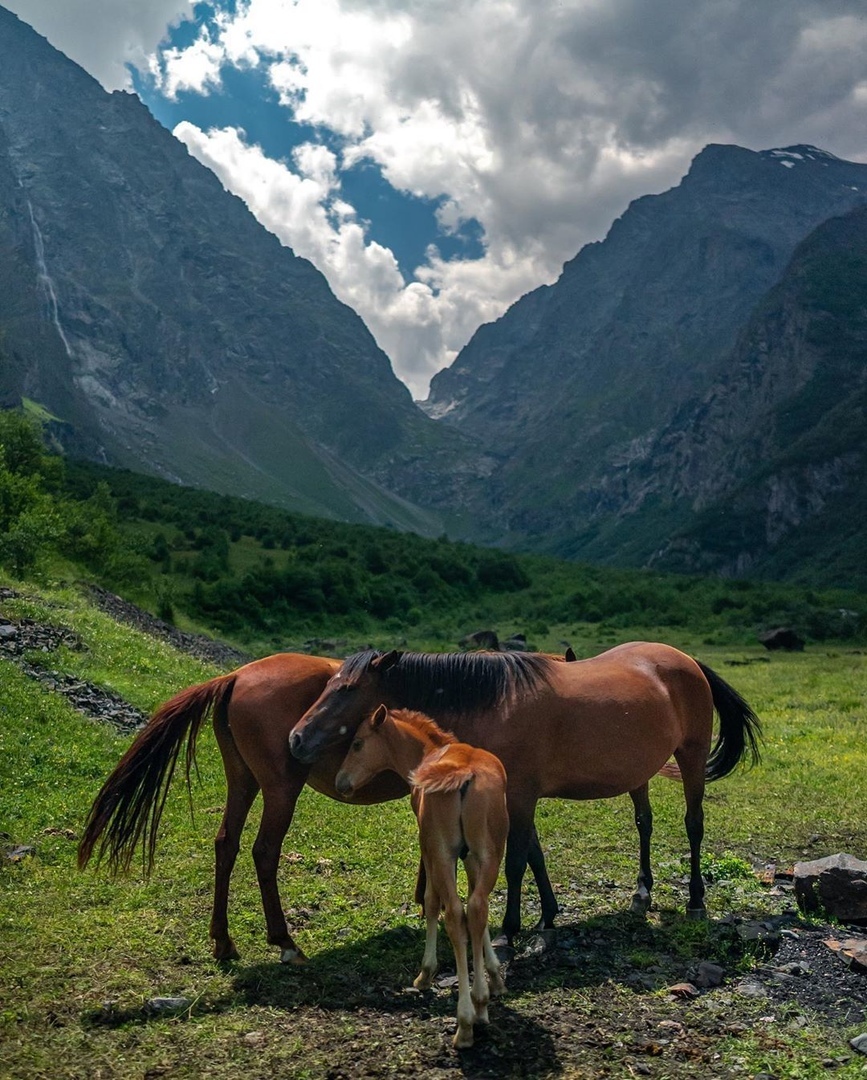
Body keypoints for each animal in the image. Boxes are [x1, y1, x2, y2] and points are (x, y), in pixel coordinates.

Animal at [77, 648, 557, 963]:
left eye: (345, 690)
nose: (298, 736)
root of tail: (235, 676)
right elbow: (522, 849)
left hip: (243, 783)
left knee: (226, 844)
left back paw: (223, 941)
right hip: (280, 790)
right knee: (263, 852)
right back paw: (284, 941)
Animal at [332, 704, 509, 1049]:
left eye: (357, 743)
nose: (340, 781)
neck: (428, 752)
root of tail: (464, 776)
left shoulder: (427, 845)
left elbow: (430, 902)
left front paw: (426, 973)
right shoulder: (471, 858)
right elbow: (478, 912)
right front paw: (494, 978)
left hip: (441, 852)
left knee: (453, 914)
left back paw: (464, 1022)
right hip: (490, 853)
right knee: (477, 908)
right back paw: (480, 1003)